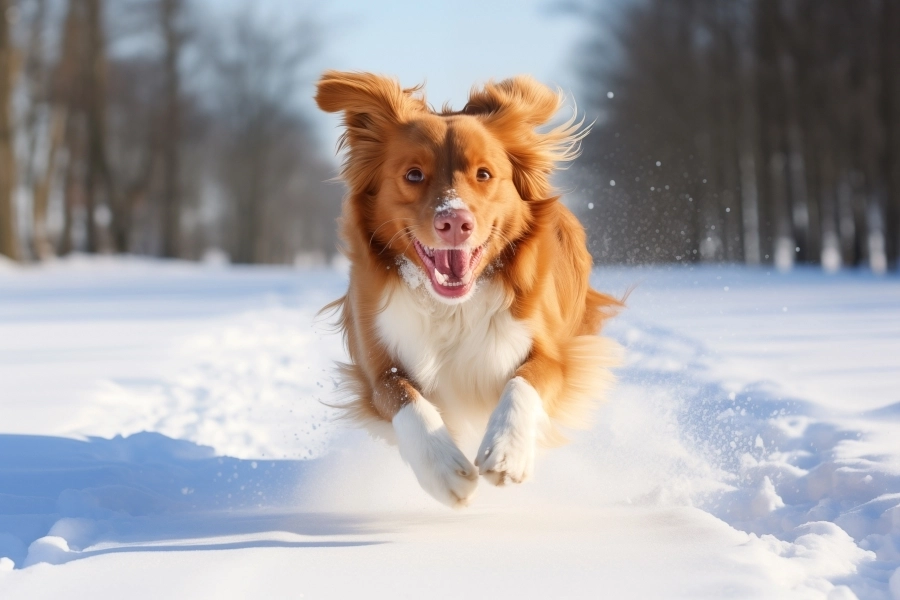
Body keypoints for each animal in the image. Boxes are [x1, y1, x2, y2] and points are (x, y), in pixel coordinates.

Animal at [314, 72, 620, 508]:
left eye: (484, 174)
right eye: (413, 175)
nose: (455, 222)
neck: (453, 306)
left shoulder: (554, 352)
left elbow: (524, 381)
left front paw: (507, 450)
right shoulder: (376, 367)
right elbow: (403, 396)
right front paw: (443, 468)